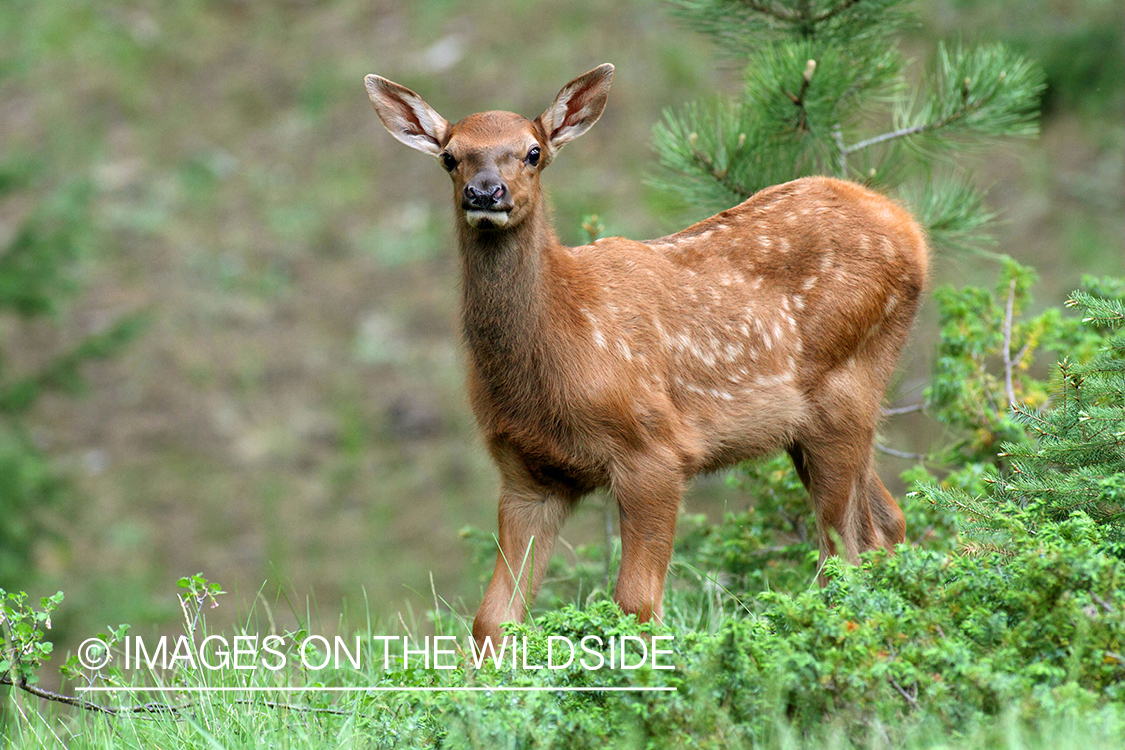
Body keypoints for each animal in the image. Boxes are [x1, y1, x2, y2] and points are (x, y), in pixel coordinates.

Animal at [364, 66, 927, 652]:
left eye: (533, 152)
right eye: (450, 156)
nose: (485, 192)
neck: (562, 345)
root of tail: (907, 225)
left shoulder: (655, 449)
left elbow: (636, 606)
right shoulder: (527, 476)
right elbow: (493, 618)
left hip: (846, 385)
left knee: (846, 552)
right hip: (814, 423)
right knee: (885, 524)